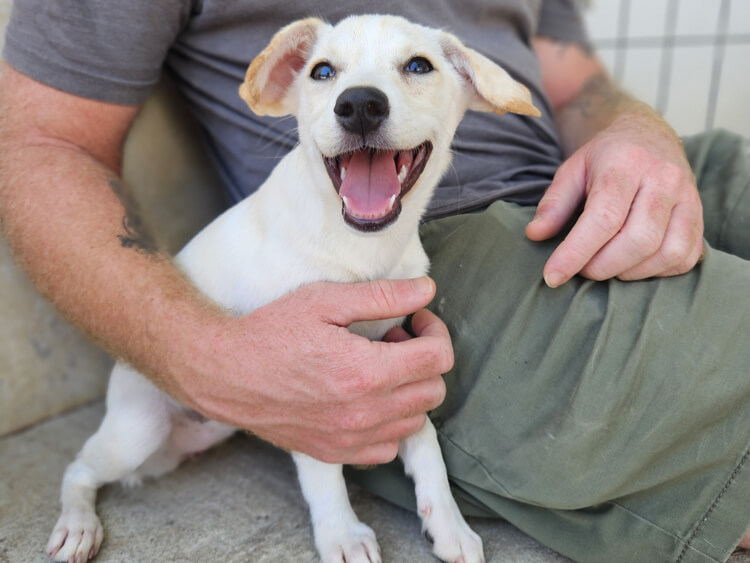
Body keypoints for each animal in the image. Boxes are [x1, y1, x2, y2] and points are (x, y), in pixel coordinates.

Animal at [47, 14, 540, 563]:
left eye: (419, 66)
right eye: (322, 71)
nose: (359, 104)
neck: (362, 249)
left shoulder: (398, 354)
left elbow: (426, 442)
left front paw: (448, 523)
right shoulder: (308, 381)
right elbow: (323, 471)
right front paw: (342, 534)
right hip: (137, 430)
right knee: (78, 469)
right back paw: (77, 525)